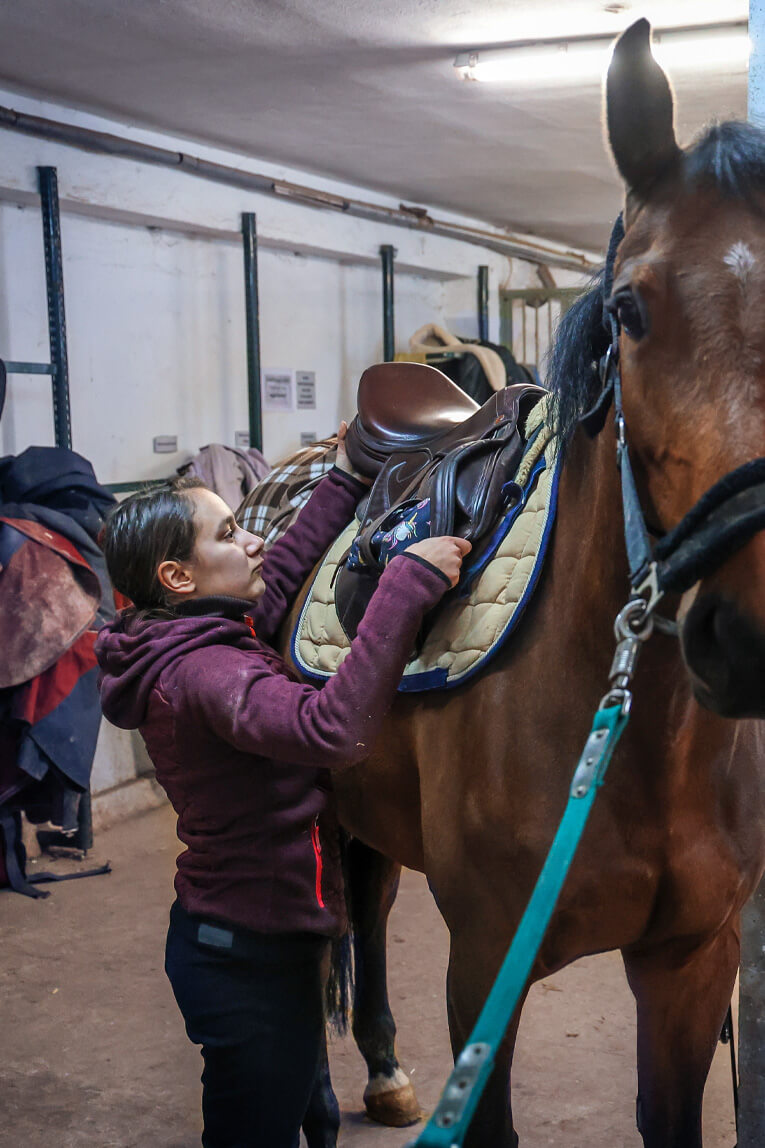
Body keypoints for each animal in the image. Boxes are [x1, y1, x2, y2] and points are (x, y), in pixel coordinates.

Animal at [282, 17, 762, 1148]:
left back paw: (382, 1069)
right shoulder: (484, 969)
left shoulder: (691, 964)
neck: (638, 732)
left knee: (368, 901)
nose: (750, 625)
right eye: (628, 308)